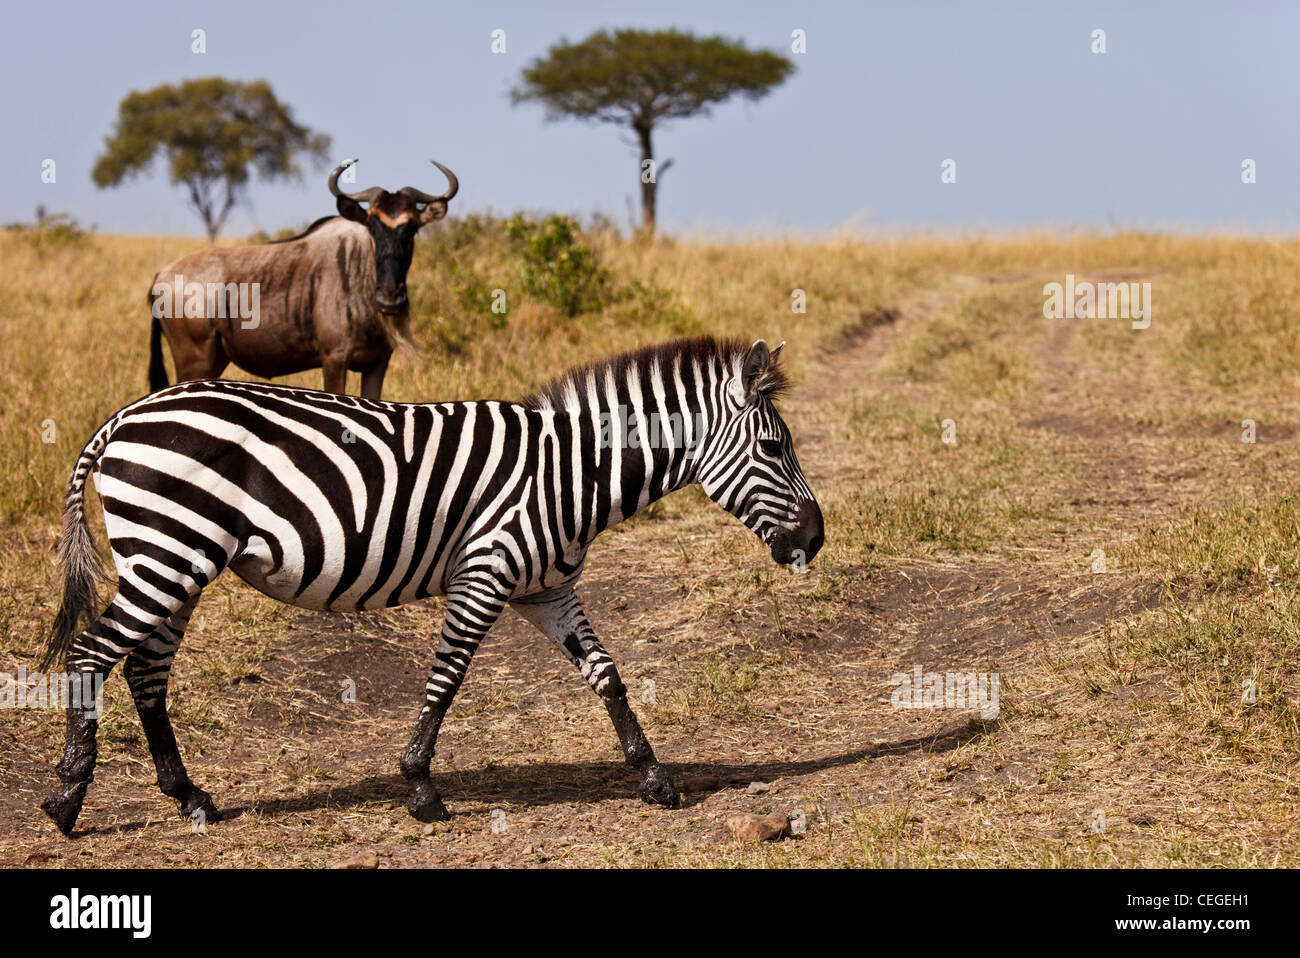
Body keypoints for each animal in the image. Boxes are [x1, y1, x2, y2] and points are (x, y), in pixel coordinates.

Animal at [39, 336, 824, 835]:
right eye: (775, 447)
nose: (816, 540)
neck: (571, 475)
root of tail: (124, 416)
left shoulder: (547, 590)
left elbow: (607, 676)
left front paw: (654, 777)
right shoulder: (486, 572)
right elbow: (447, 678)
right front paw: (419, 787)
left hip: (178, 561)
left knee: (144, 668)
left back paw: (189, 798)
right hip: (169, 551)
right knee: (92, 655)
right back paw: (68, 798)